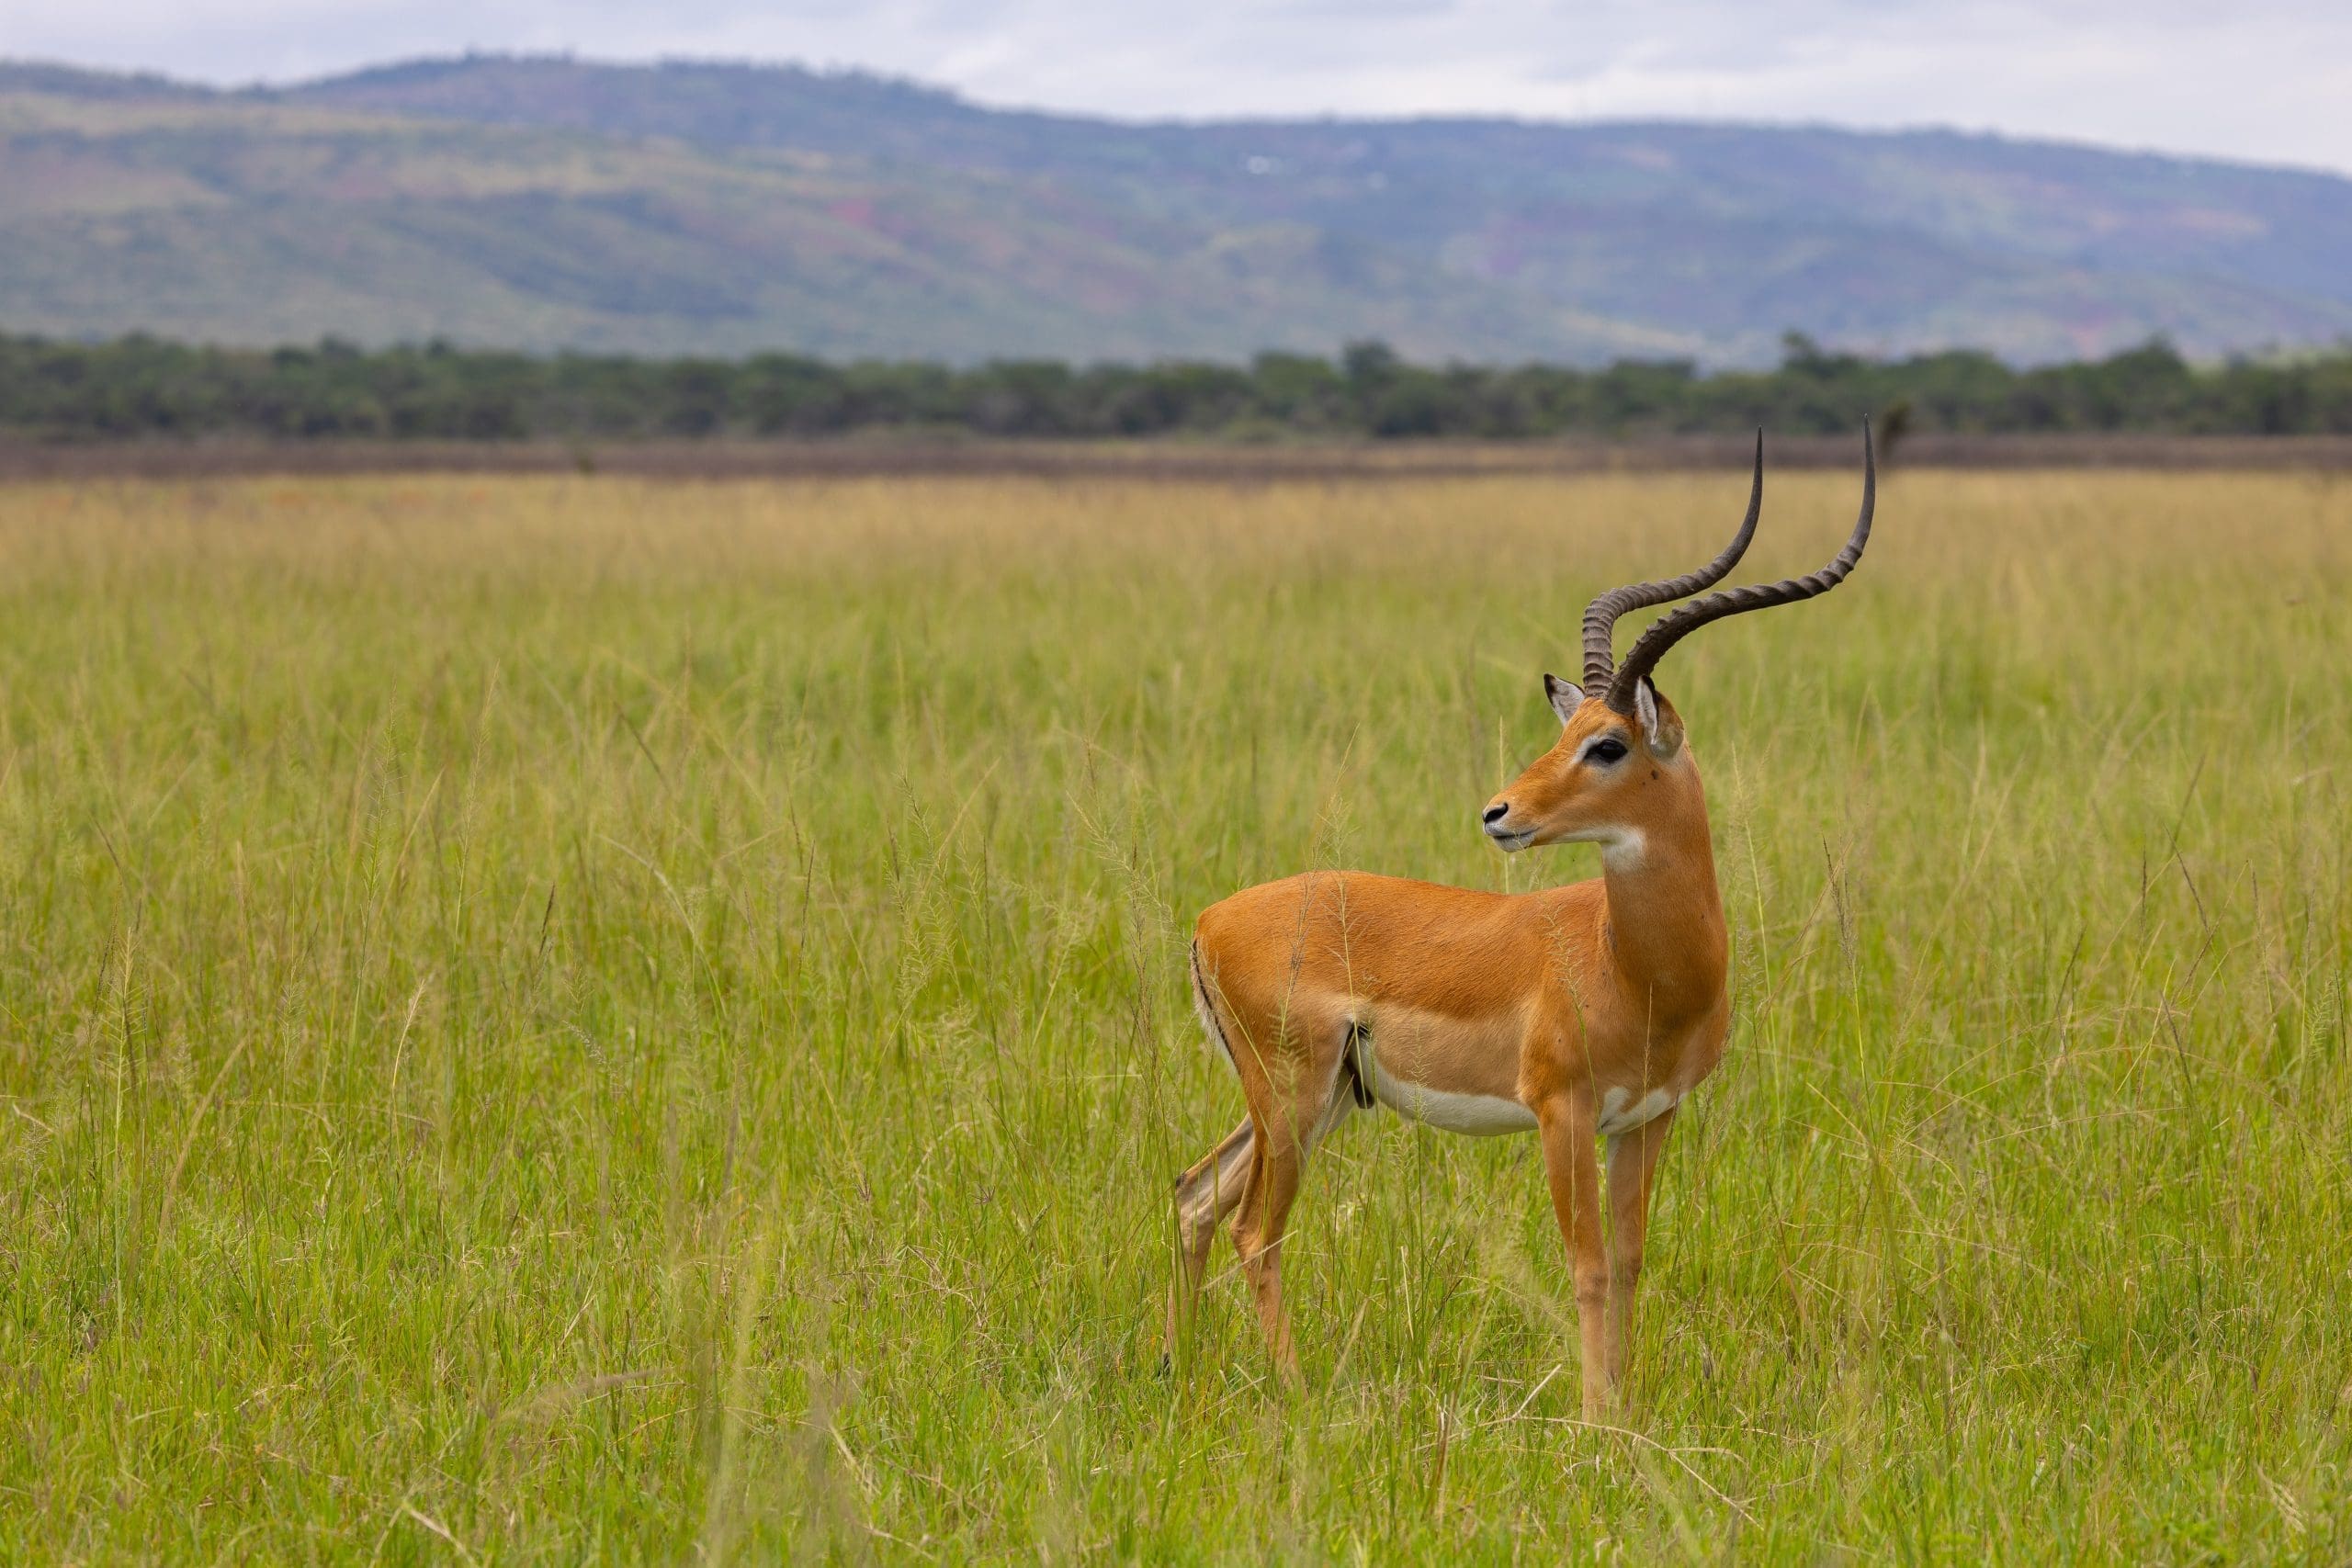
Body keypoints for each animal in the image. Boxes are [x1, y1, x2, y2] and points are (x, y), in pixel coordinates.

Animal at [1171, 427, 1875, 1414]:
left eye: (1606, 742)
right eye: (1567, 733)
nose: (1499, 813)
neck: (1635, 966)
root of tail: (1208, 919)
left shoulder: (1648, 1117)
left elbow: (1630, 1261)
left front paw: (1625, 1410)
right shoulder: (1560, 1111)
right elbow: (1586, 1265)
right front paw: (1593, 1420)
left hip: (1312, 1101)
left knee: (1197, 1194)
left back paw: (1177, 1366)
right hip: (1293, 1094)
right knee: (1253, 1229)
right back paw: (1298, 1391)